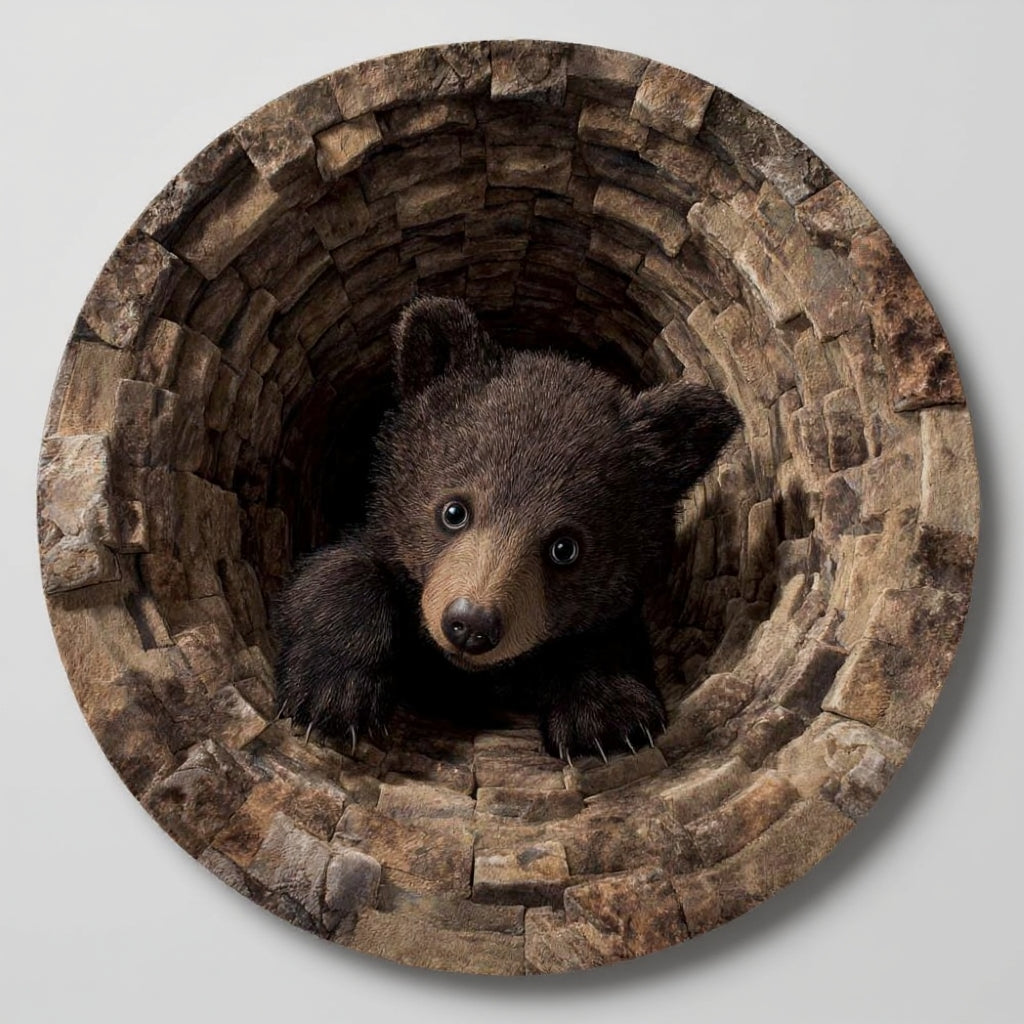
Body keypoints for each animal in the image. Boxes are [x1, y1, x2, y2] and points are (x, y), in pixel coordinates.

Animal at [274, 296, 740, 761]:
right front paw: (333, 693)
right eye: (454, 511)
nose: (471, 625)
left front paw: (607, 715)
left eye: (565, 548)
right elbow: (336, 571)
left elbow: (607, 633)